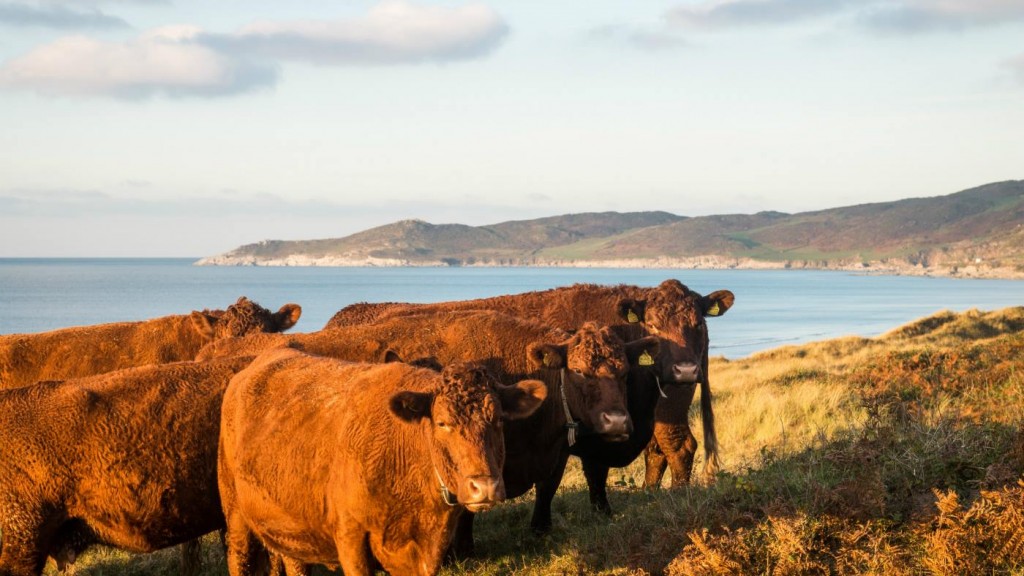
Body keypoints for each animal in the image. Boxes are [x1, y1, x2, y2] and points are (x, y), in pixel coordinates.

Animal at [219, 344, 548, 573]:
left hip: (288, 523)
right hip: (236, 516)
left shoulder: (428, 549)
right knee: (239, 559)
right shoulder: (350, 539)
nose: (486, 487)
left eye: (499, 420)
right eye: (442, 423)